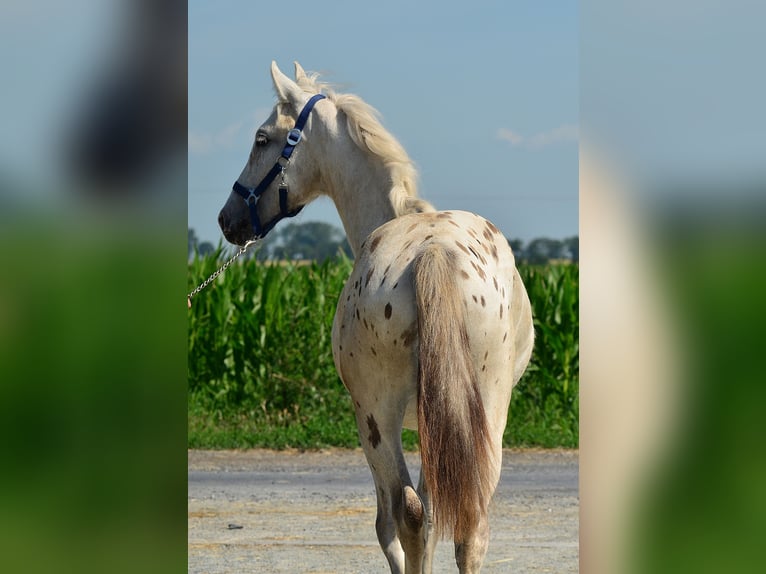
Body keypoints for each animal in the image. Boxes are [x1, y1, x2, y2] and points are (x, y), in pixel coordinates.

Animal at [218, 63, 536, 574]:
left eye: (262, 138)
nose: (228, 220)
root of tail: (432, 252)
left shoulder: (367, 418)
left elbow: (391, 524)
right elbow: (434, 516)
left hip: (376, 418)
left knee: (405, 514)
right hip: (485, 411)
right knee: (467, 524)